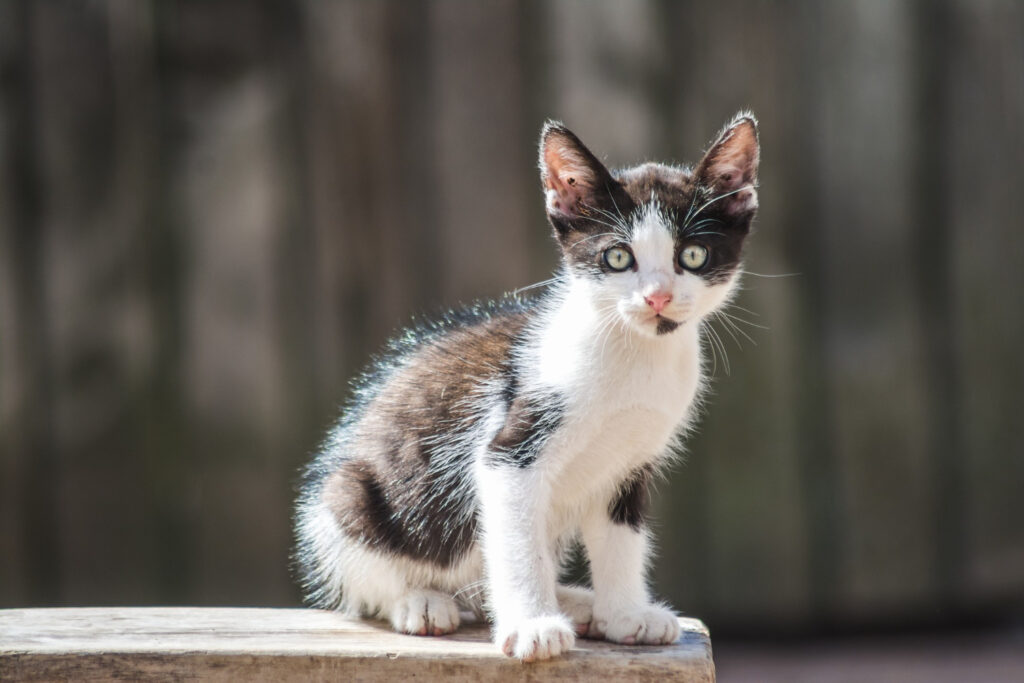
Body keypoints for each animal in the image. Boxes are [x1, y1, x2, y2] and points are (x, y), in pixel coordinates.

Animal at [292, 112, 757, 663]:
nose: (657, 297)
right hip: (345, 498)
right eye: (618, 258)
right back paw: (421, 601)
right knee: (370, 578)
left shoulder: (630, 463)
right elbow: (517, 545)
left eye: (694, 254)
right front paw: (533, 624)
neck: (633, 355)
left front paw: (624, 614)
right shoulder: (511, 449)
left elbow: (621, 540)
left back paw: (577, 603)